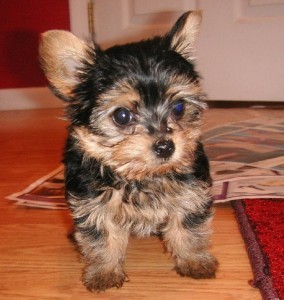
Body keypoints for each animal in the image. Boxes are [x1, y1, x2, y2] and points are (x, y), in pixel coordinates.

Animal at [39, 11, 217, 290]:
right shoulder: (93, 203)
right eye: (122, 116)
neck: (141, 176)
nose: (166, 146)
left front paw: (194, 260)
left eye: (178, 108)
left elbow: (189, 226)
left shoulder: (191, 191)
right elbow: (102, 237)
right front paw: (103, 272)